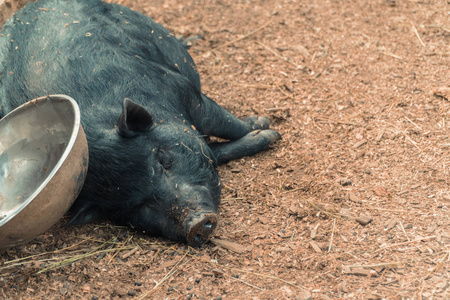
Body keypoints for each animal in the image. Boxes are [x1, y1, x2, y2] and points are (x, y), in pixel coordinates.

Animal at [0, 0, 280, 246]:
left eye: (163, 160)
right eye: (139, 205)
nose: (196, 224)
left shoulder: (184, 91)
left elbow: (225, 122)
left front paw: (268, 127)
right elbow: (214, 149)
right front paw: (268, 132)